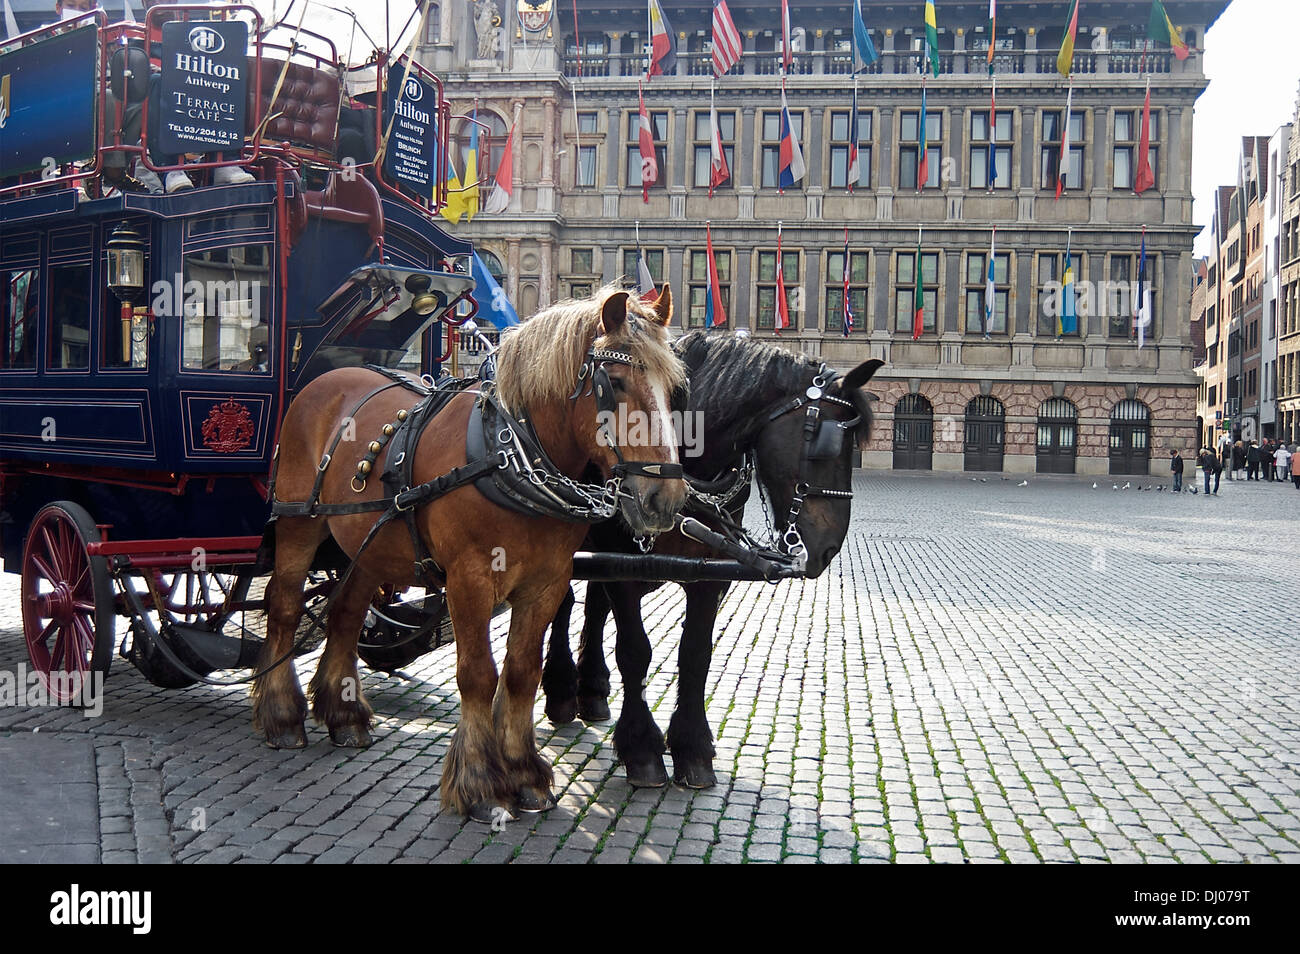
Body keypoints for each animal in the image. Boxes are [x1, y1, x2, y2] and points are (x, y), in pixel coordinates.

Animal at [255, 285, 688, 821]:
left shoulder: (546, 583)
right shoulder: (469, 579)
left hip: (369, 544)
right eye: (619, 381)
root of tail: (326, 378)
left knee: (346, 612)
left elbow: (522, 674)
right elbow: (479, 675)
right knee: (285, 605)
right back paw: (281, 718)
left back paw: (345, 715)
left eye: (673, 388)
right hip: (299, 522)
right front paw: (481, 782)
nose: (665, 500)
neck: (511, 456)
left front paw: (524, 774)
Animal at [542, 330, 882, 788]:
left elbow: (696, 653)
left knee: (594, 607)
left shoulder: (709, 574)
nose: (828, 548)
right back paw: (561, 688)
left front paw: (692, 746)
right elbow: (634, 650)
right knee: (562, 606)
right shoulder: (624, 565)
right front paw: (642, 748)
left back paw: (592, 688)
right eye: (829, 443)